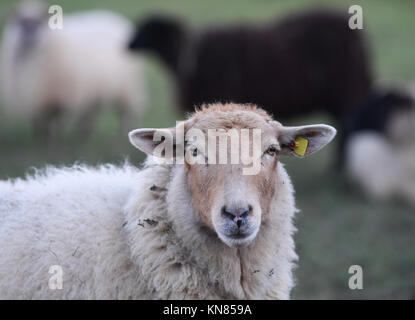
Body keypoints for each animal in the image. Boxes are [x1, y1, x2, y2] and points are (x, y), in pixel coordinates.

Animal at [0, 0, 148, 142]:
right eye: (21, 21)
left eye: (38, 22)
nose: (29, 35)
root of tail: (115, 18)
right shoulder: (35, 103)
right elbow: (39, 126)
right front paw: (39, 142)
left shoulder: (60, 100)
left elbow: (56, 127)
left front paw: (53, 143)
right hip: (95, 90)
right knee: (91, 115)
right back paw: (83, 136)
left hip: (128, 90)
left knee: (126, 116)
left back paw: (121, 138)